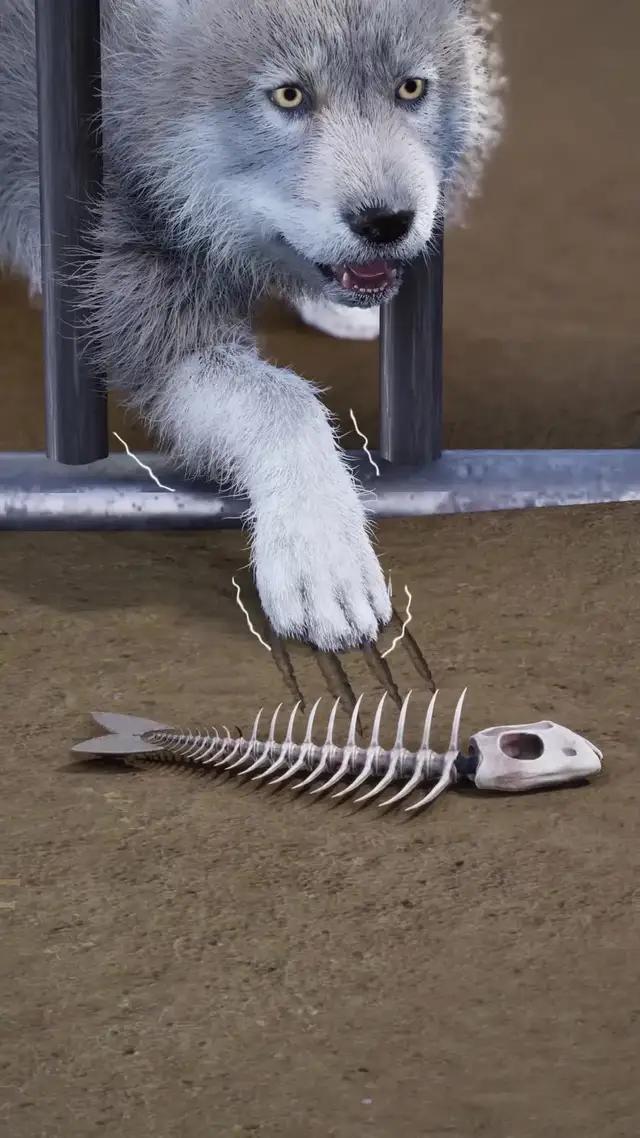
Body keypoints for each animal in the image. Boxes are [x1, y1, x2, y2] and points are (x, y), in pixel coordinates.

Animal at [0, 0, 503, 651]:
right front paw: (323, 548)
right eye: (289, 95)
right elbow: (283, 400)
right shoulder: (134, 303)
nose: (387, 222)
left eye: (411, 88)